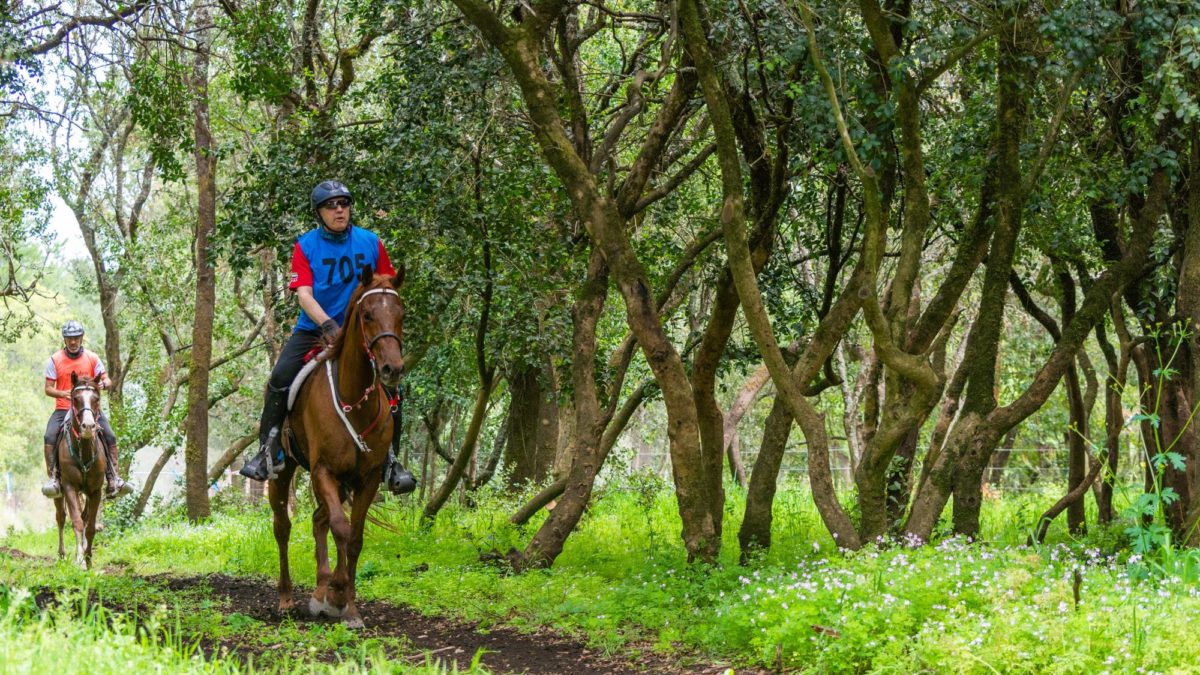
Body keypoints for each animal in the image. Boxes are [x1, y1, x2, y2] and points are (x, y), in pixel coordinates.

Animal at [54, 372, 107, 566]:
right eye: (76, 399)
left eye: (96, 399)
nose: (89, 427)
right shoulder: (70, 487)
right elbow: (75, 522)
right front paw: (79, 559)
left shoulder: (95, 491)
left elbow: (90, 526)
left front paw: (88, 559)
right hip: (60, 493)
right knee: (61, 517)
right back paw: (62, 554)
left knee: (84, 518)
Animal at [270, 265, 405, 629]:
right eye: (367, 314)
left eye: (401, 314)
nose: (392, 368)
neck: (354, 401)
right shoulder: (324, 471)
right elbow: (341, 529)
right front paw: (337, 596)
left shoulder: (367, 478)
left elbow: (354, 536)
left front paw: (348, 606)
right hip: (285, 472)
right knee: (283, 527)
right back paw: (287, 599)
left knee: (319, 519)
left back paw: (320, 589)